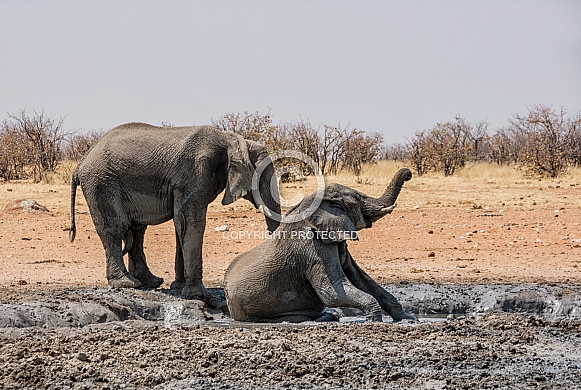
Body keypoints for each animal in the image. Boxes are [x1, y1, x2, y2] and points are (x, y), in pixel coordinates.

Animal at [70, 123, 280, 300]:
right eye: (262, 178)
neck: (230, 139)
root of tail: (82, 161)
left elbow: (181, 225)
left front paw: (179, 288)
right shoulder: (194, 174)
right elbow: (190, 222)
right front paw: (198, 295)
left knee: (137, 231)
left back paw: (150, 282)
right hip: (101, 183)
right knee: (115, 229)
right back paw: (127, 283)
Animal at [224, 168, 414, 322]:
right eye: (359, 197)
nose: (409, 174)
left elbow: (362, 280)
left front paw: (408, 319)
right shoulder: (312, 247)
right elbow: (332, 291)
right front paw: (375, 320)